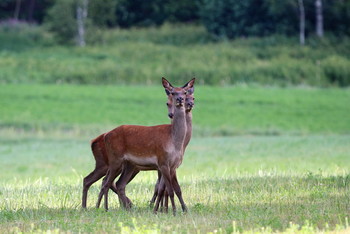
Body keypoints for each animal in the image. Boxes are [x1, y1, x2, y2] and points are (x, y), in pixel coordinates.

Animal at [95, 77, 194, 215]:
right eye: (173, 92)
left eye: (184, 92)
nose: (180, 100)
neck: (175, 142)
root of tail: (105, 135)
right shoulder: (163, 162)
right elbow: (169, 190)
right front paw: (172, 212)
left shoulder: (173, 166)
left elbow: (177, 189)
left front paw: (182, 210)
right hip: (115, 159)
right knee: (106, 183)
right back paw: (103, 208)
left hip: (129, 164)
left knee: (118, 184)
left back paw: (122, 209)